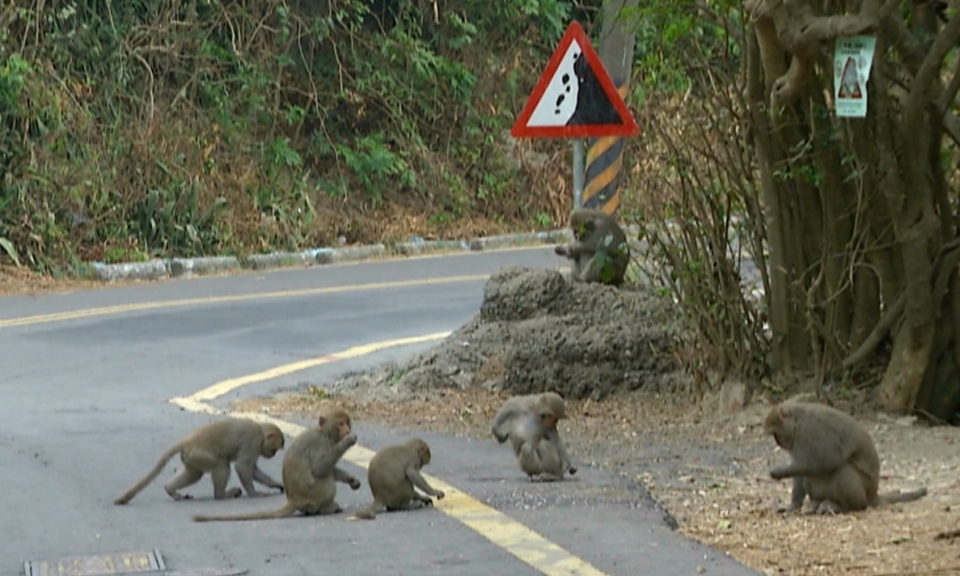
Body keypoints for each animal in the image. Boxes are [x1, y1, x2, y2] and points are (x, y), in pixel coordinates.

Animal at [114, 418, 285, 506]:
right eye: (274, 450)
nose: (272, 455)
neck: (260, 429)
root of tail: (188, 440)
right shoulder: (252, 441)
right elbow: (242, 467)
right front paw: (255, 493)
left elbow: (253, 469)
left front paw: (276, 485)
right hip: (199, 453)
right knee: (220, 463)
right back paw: (221, 495)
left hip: (191, 456)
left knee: (194, 473)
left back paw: (170, 489)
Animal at [192, 407, 361, 522]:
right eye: (341, 424)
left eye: (347, 423)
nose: (347, 430)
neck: (325, 433)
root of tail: (294, 501)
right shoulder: (321, 444)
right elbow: (319, 468)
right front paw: (347, 442)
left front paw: (352, 480)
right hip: (314, 495)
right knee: (325, 479)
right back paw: (326, 508)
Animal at [764, 401, 928, 514]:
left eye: (776, 434)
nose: (779, 442)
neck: (798, 421)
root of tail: (873, 493)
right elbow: (799, 471)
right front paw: (793, 506)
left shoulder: (810, 431)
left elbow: (829, 460)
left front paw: (779, 472)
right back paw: (816, 503)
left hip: (863, 492)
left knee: (844, 470)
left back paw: (843, 507)